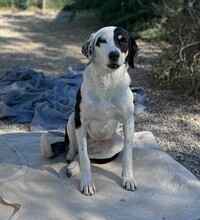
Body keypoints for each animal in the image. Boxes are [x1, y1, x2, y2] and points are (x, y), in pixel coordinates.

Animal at [40, 26, 139, 196]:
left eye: (123, 41)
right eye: (101, 41)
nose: (114, 54)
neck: (107, 81)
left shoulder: (128, 121)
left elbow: (128, 156)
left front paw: (128, 179)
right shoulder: (81, 122)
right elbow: (85, 158)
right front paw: (87, 183)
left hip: (116, 142)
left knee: (84, 156)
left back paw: (73, 168)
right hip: (72, 119)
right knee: (75, 153)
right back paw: (71, 162)